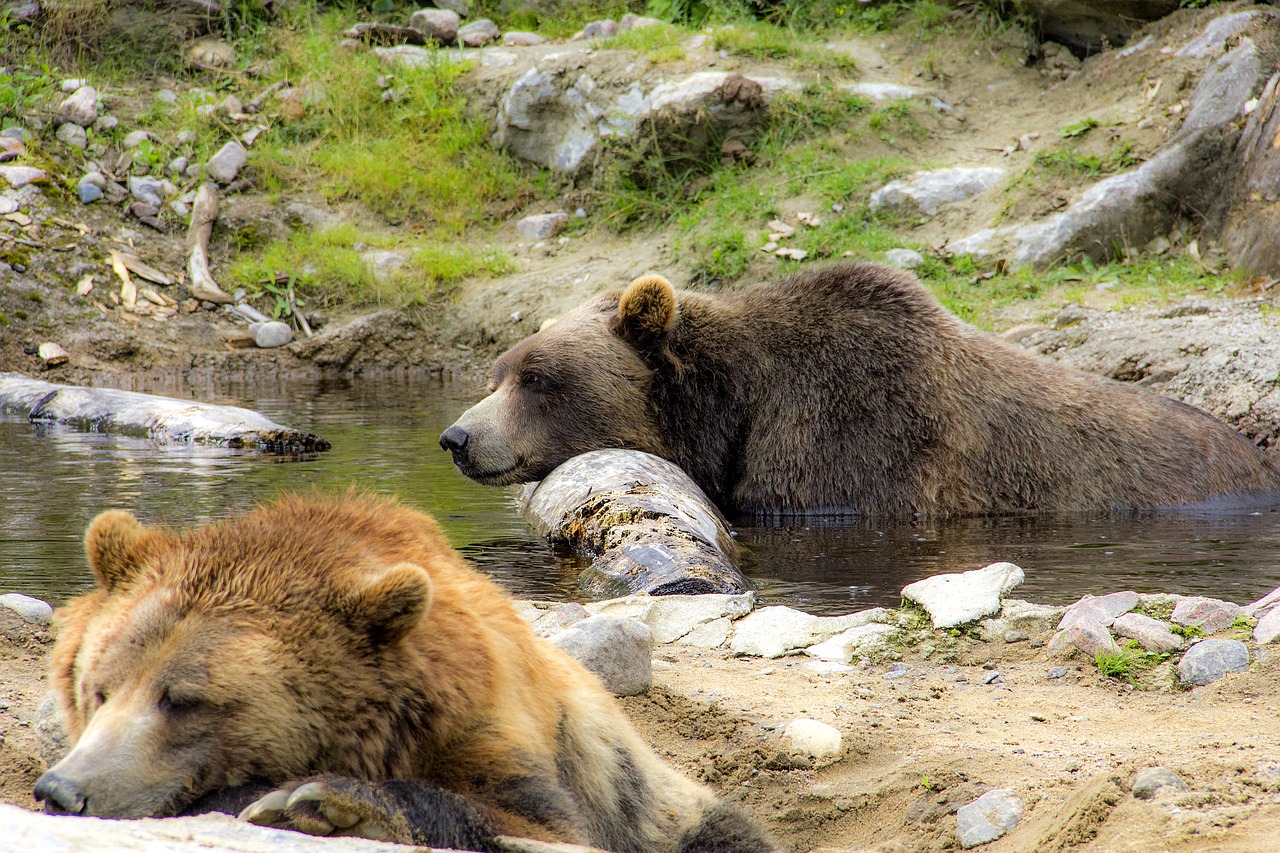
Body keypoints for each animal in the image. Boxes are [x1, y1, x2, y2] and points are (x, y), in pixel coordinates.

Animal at [35, 491, 773, 850]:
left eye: (183, 698)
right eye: (96, 688)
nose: (63, 790)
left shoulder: (489, 730)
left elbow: (529, 820)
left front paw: (309, 799)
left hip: (651, 795)